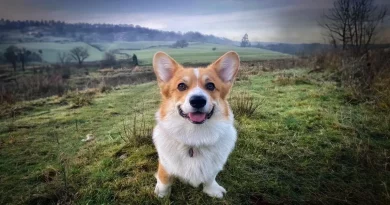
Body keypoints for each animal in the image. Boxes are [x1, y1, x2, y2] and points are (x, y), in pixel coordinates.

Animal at [152, 50, 238, 198]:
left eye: (210, 86)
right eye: (181, 86)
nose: (197, 100)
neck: (195, 136)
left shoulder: (212, 167)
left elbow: (210, 178)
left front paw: (212, 190)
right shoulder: (165, 164)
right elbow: (164, 180)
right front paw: (162, 194)